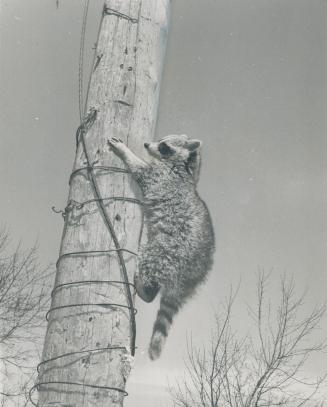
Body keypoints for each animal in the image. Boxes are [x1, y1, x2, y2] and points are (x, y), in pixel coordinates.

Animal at [107, 135, 215, 360]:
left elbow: (140, 170)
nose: (147, 145)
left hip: (171, 249)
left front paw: (125, 152)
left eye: (164, 146)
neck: (185, 170)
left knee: (151, 259)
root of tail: (194, 274)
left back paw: (145, 290)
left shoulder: (161, 179)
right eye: (161, 140)